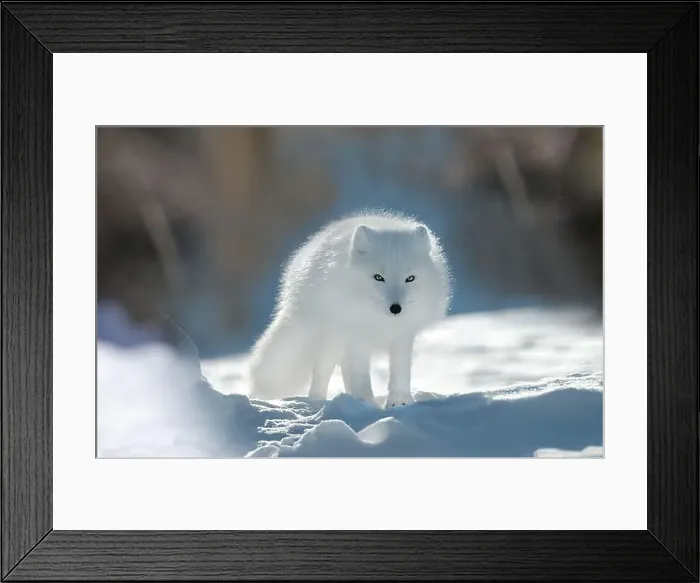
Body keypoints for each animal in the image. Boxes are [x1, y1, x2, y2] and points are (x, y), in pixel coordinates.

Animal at [248, 210, 452, 408]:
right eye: (378, 277)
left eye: (410, 278)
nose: (396, 308)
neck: (380, 322)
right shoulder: (356, 338)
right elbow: (360, 378)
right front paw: (367, 405)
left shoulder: (402, 337)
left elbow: (400, 372)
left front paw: (399, 402)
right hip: (332, 341)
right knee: (323, 373)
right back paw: (317, 401)